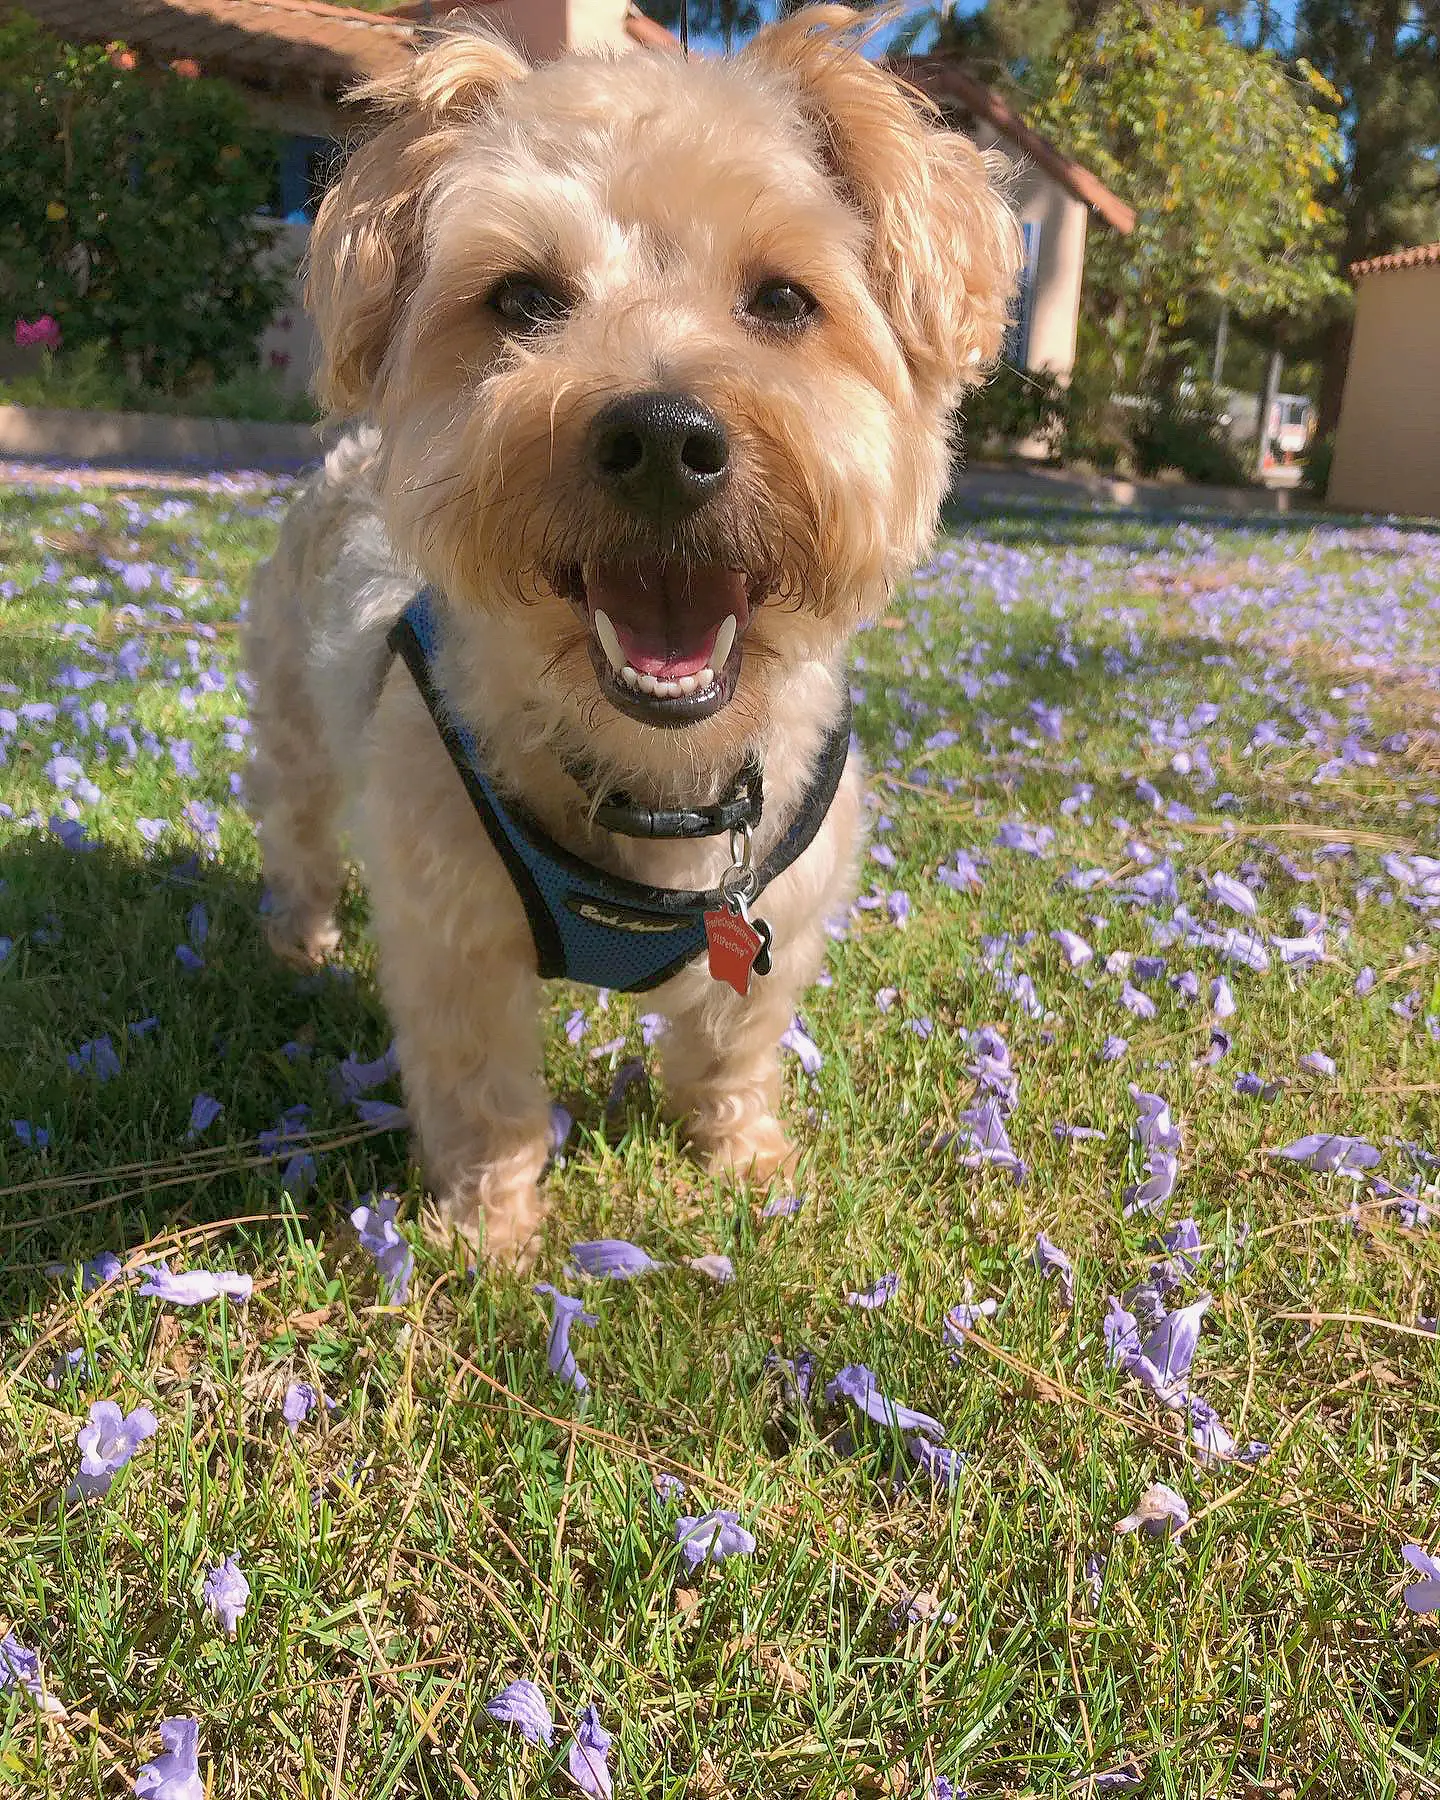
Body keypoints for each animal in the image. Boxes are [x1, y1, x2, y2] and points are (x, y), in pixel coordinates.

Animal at [241, 3, 1015, 1267]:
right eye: (521, 299)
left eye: (784, 300)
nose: (661, 437)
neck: (657, 776)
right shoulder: (451, 937)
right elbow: (483, 1091)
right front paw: (491, 1232)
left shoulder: (779, 916)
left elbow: (732, 1047)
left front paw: (745, 1159)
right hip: (297, 724)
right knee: (298, 829)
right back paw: (298, 937)